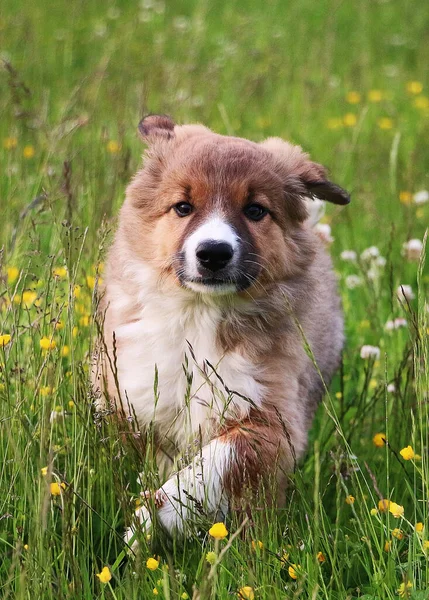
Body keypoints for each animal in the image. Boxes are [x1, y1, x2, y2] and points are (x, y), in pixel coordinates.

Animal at [92, 113, 350, 544]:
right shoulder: (130, 394)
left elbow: (210, 464)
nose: (213, 253)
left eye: (256, 210)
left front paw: (151, 519)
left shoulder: (272, 420)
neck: (199, 316)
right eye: (183, 207)